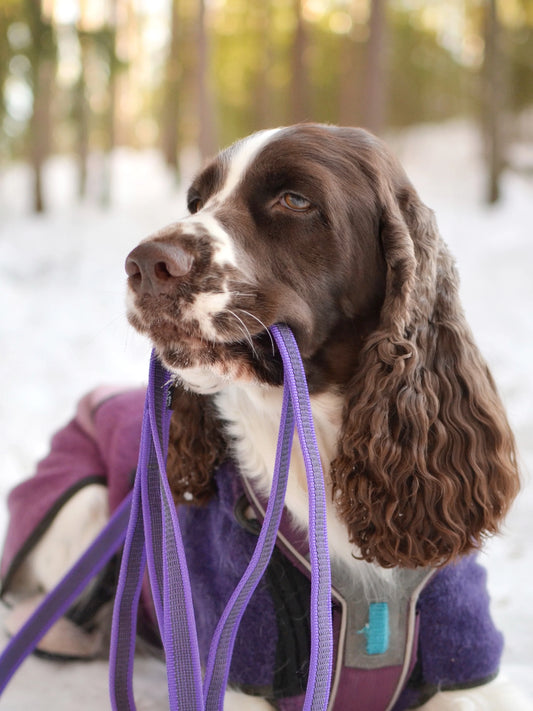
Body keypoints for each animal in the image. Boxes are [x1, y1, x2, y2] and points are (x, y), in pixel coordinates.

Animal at [3, 125, 528, 708]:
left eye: (295, 200)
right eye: (196, 202)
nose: (143, 264)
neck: (314, 445)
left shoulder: (467, 665)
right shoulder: (235, 663)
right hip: (86, 500)